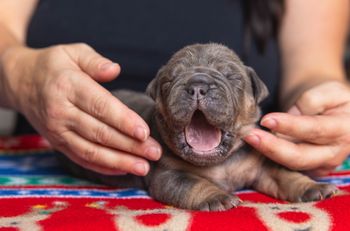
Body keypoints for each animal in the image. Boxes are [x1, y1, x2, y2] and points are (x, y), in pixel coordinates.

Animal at [61, 43, 338, 211]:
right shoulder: (169, 175)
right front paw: (217, 197)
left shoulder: (260, 166)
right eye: (169, 81)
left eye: (231, 77)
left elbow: (283, 173)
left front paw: (313, 186)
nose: (197, 85)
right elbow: (193, 183)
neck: (219, 163)